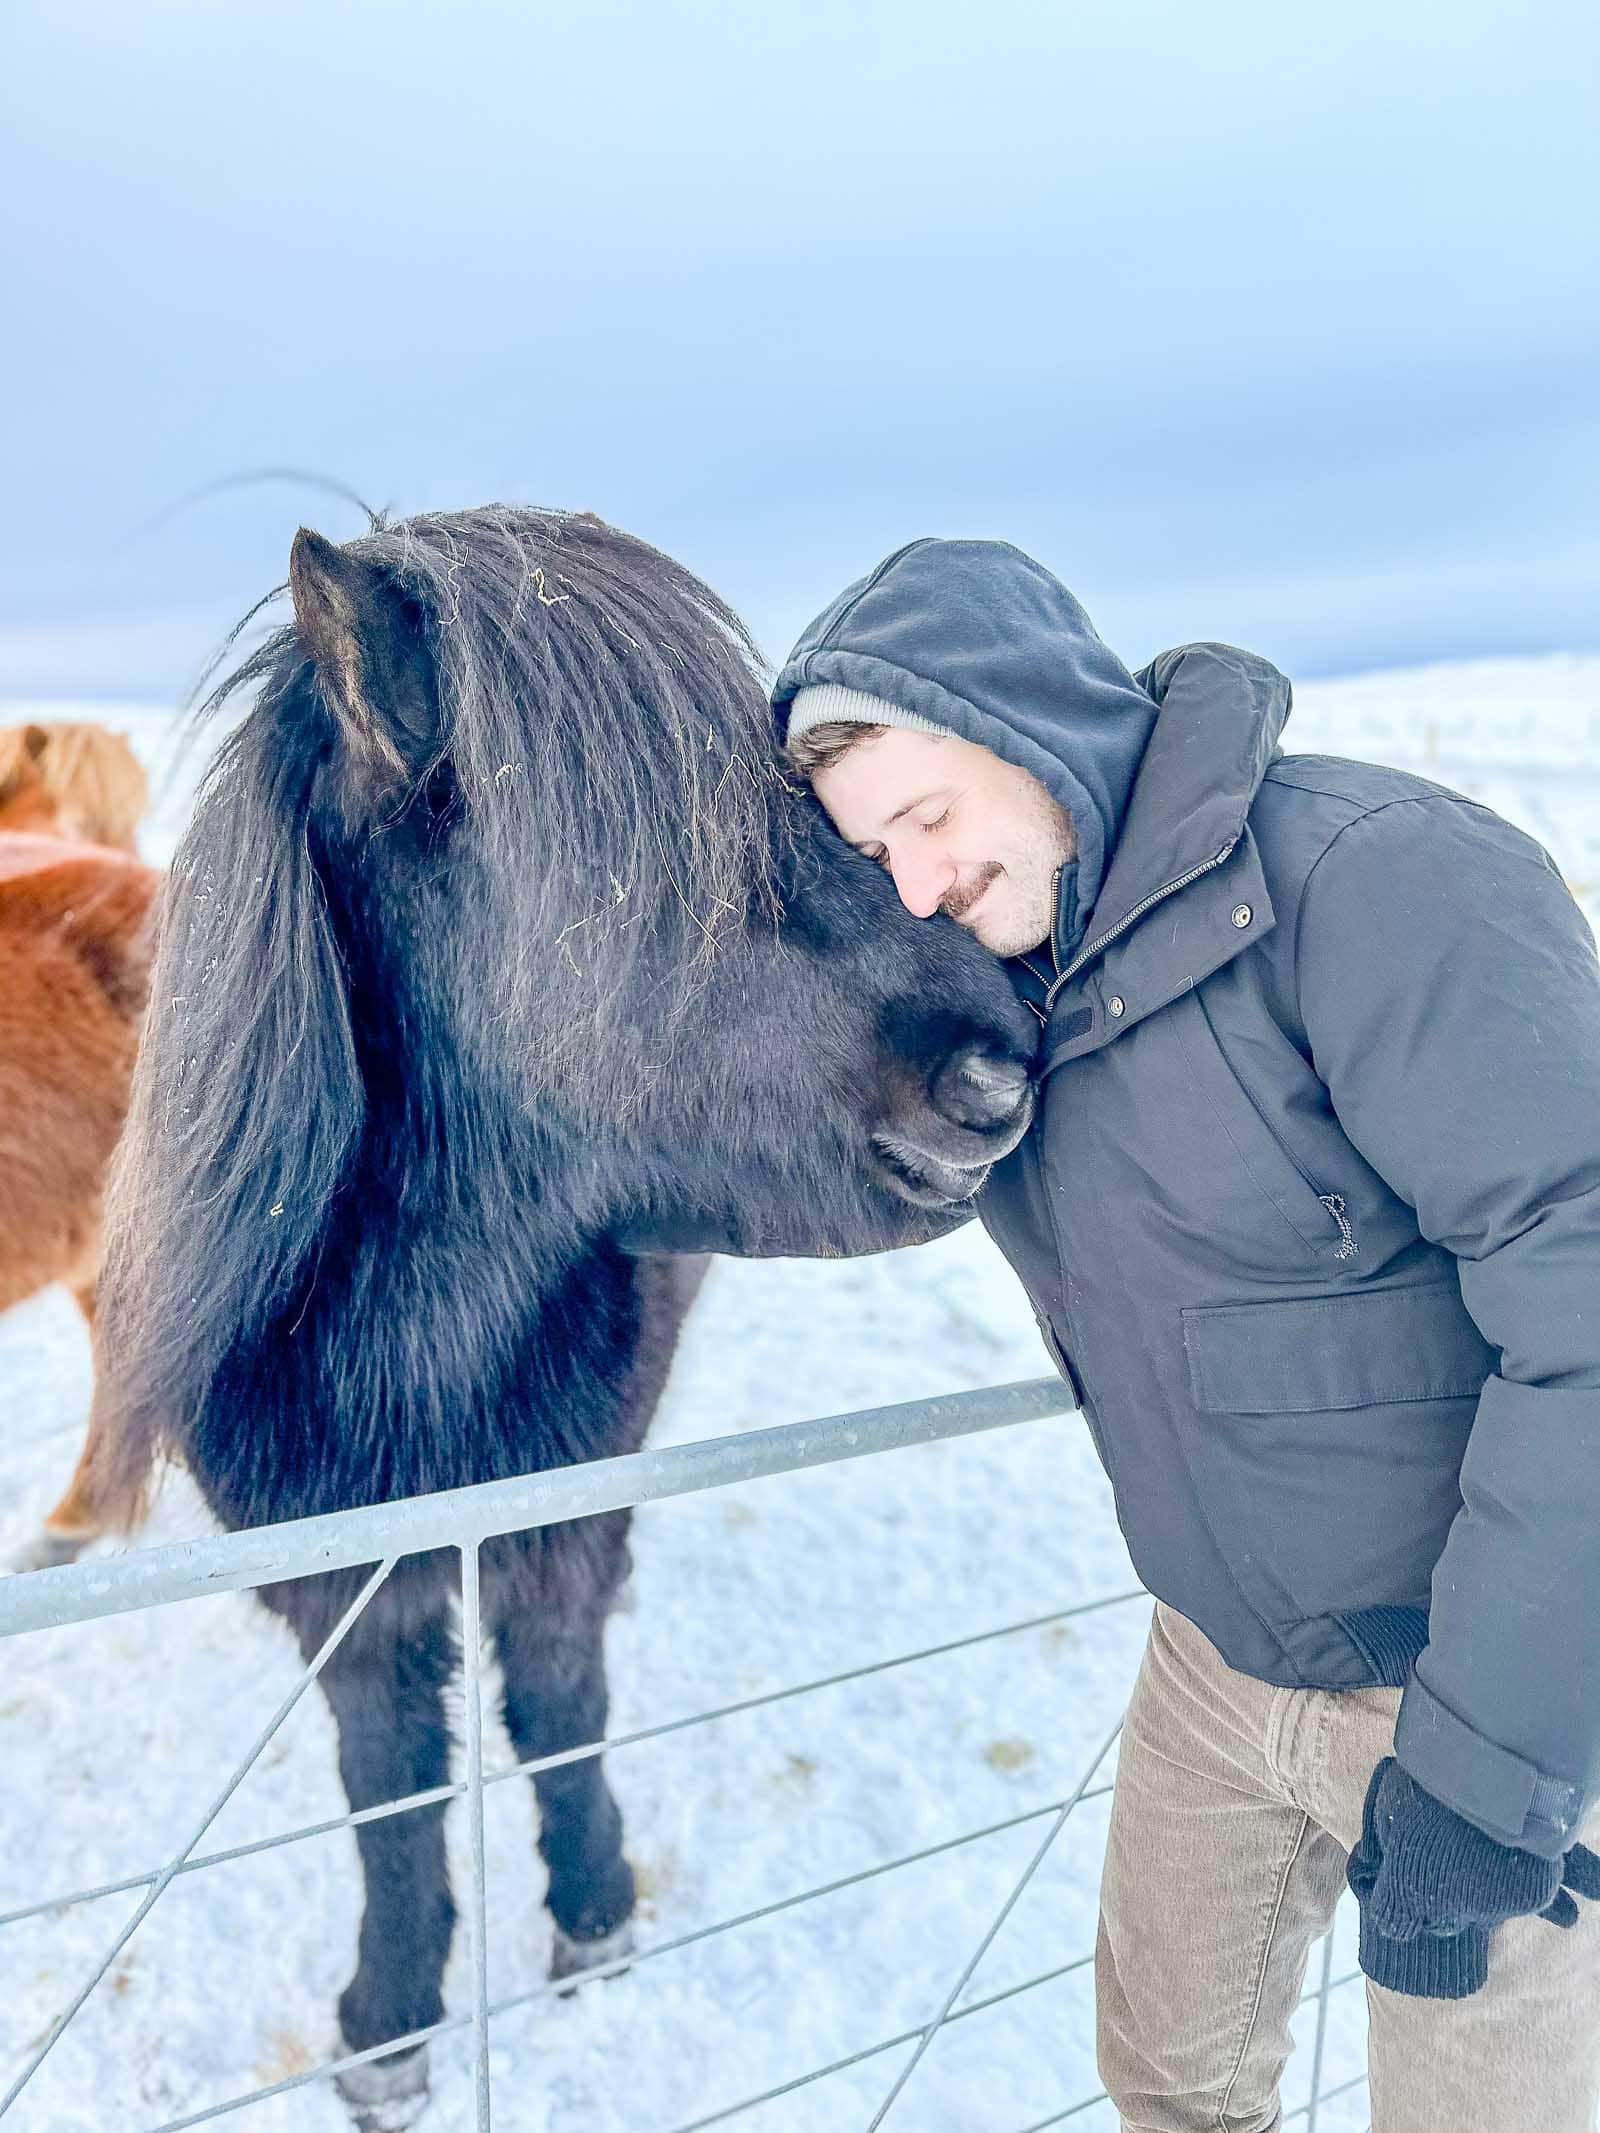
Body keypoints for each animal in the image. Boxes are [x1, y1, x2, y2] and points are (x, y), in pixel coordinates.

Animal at [93, 507, 1032, 2124]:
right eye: (656, 868)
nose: (1002, 1067)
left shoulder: (563, 1508)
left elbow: (554, 1699)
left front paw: (593, 1914)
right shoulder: (340, 1583)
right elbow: (391, 1786)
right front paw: (391, 2021)